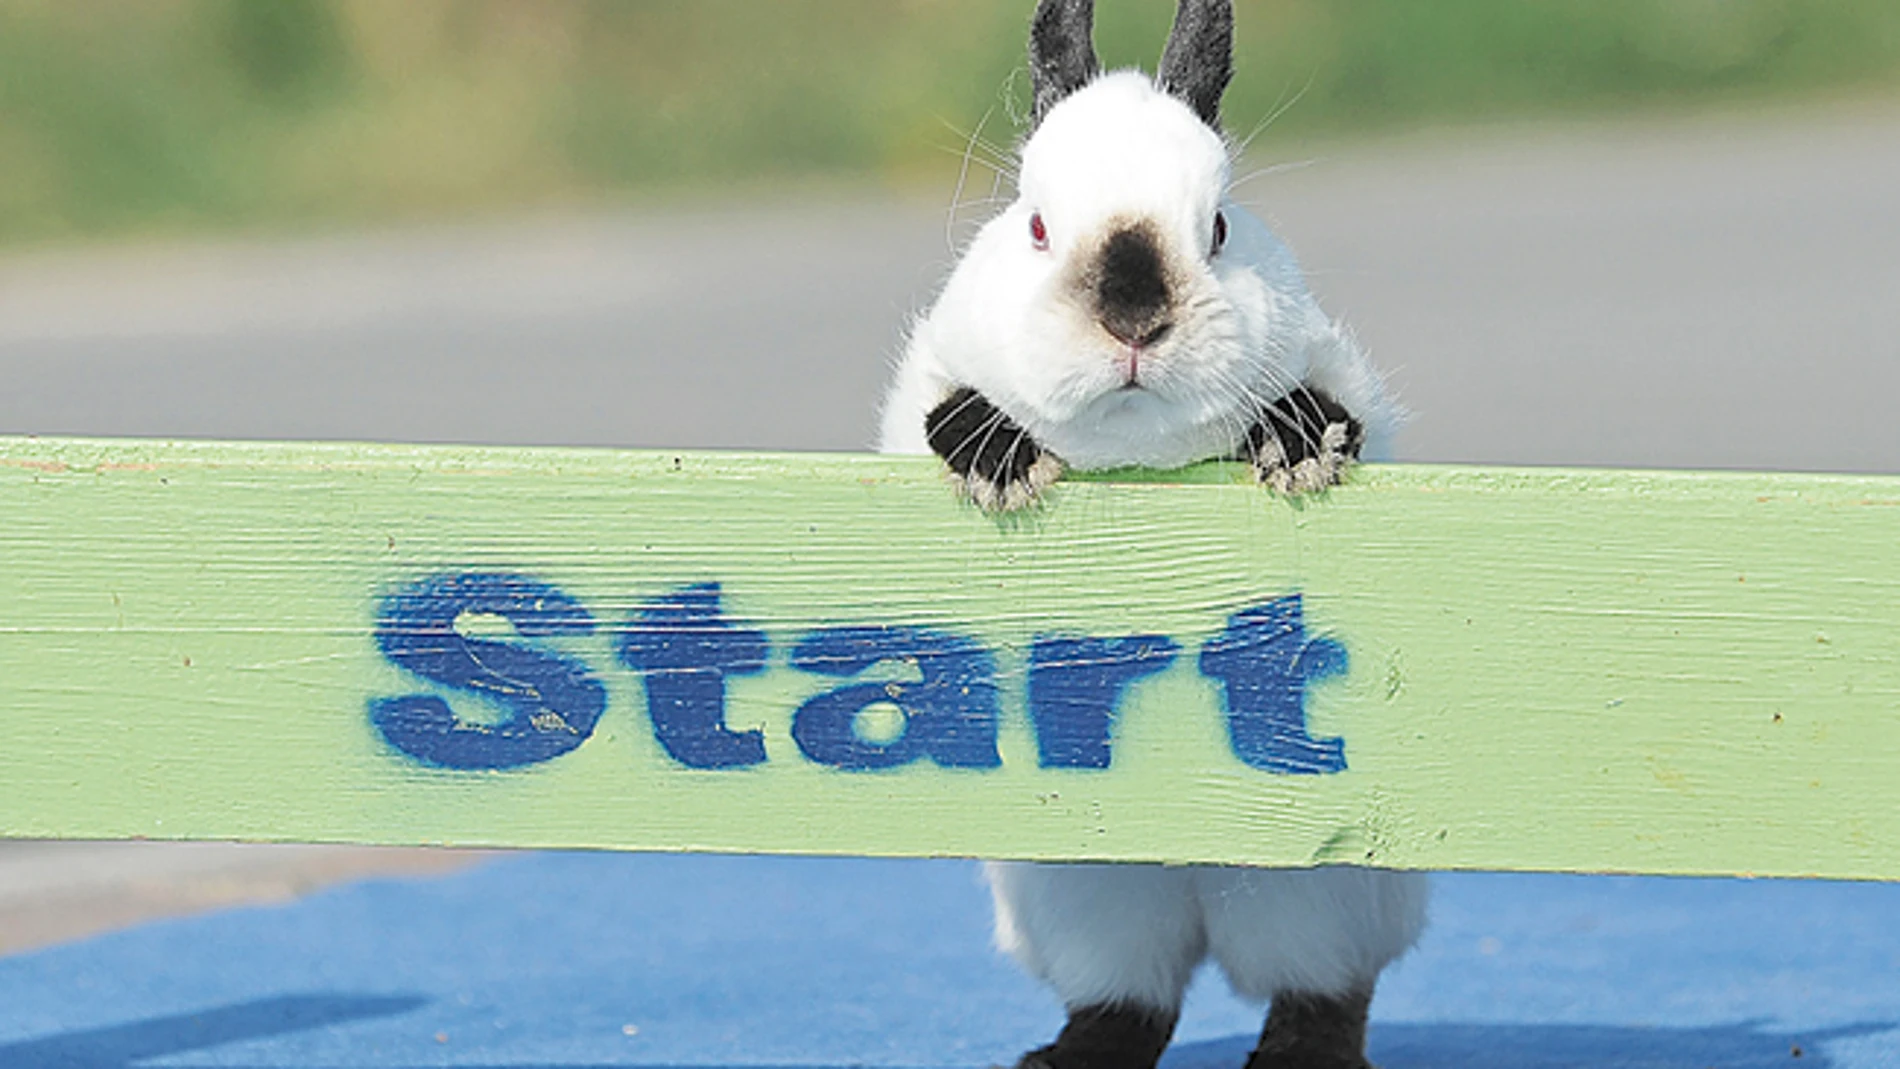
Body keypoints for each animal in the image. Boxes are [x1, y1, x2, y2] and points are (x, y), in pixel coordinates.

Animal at [874, 2, 1428, 1069]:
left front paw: (1296, 445)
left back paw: (1299, 1054)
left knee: (1324, 986)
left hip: (1320, 893)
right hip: (1083, 894)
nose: (1134, 317)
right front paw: (998, 459)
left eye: (1217, 227)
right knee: (1132, 997)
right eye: (1037, 225)